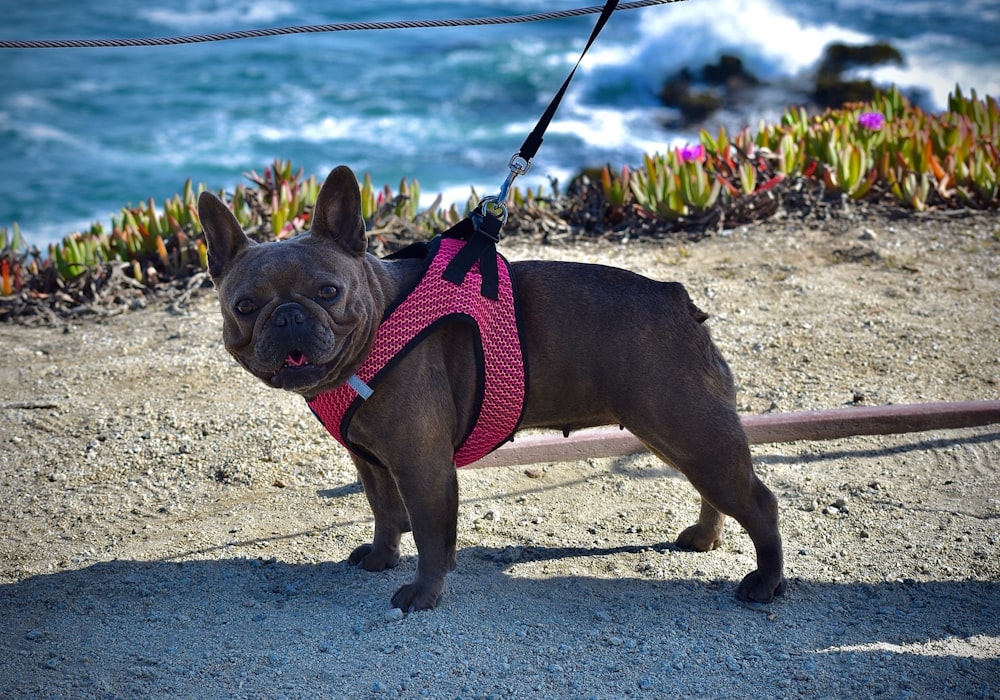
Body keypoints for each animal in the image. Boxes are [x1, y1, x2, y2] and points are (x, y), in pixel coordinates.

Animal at [197, 167, 788, 608]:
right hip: (679, 435)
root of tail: (678, 301)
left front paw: (422, 595)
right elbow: (385, 512)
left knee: (758, 501)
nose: (288, 317)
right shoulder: (372, 463)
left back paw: (765, 583)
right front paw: (381, 558)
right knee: (714, 489)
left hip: (690, 429)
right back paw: (705, 539)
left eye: (328, 291)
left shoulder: (422, 465)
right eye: (244, 306)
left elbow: (430, 535)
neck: (379, 322)